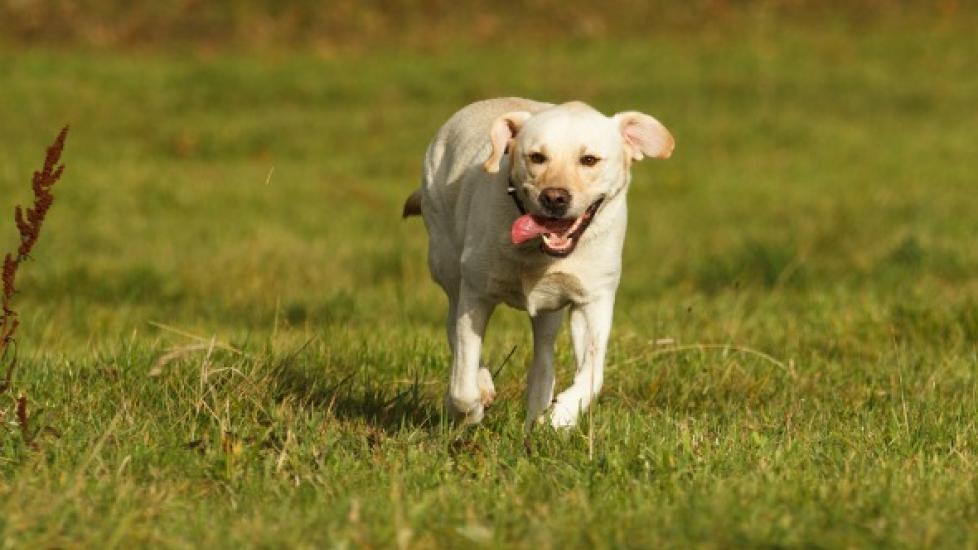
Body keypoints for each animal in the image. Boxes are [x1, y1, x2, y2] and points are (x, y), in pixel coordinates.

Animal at [402, 99, 672, 432]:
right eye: (537, 157)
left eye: (589, 159)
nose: (555, 197)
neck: (539, 253)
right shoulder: (476, 294)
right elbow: (463, 377)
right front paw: (471, 408)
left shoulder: (593, 299)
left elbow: (592, 372)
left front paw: (562, 415)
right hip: (447, 262)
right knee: (453, 324)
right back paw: (484, 385)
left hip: (548, 310)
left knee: (543, 359)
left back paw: (537, 414)